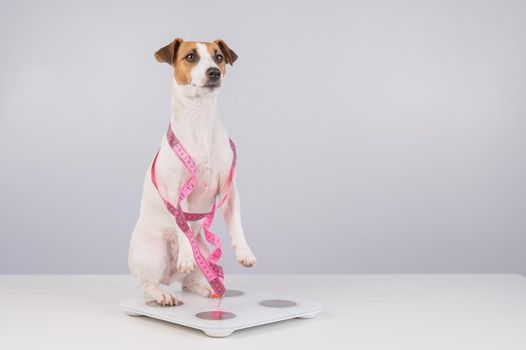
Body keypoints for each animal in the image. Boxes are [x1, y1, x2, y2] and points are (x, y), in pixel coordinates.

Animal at [129, 38, 258, 304]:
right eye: (190, 56)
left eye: (219, 57)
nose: (214, 72)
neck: (200, 119)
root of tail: (170, 277)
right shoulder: (176, 193)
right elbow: (182, 226)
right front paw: (187, 256)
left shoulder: (229, 191)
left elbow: (237, 225)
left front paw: (245, 253)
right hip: (153, 254)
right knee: (147, 285)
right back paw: (163, 294)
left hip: (206, 252)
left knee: (190, 282)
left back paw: (209, 288)